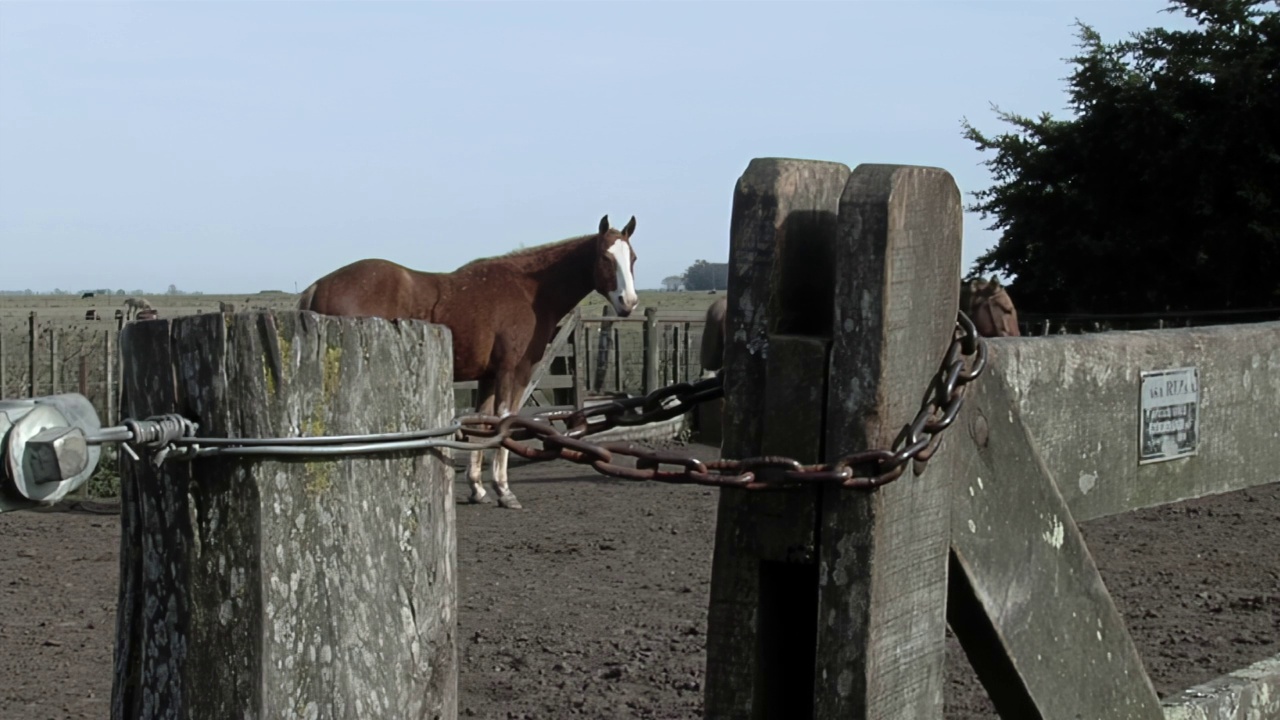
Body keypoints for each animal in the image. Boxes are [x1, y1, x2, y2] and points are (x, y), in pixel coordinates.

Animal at [298, 212, 640, 504]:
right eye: (606, 258)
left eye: (633, 258)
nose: (629, 302)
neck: (529, 292)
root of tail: (316, 287)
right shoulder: (512, 371)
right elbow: (505, 422)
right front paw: (503, 490)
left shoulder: (488, 376)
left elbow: (484, 424)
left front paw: (478, 487)